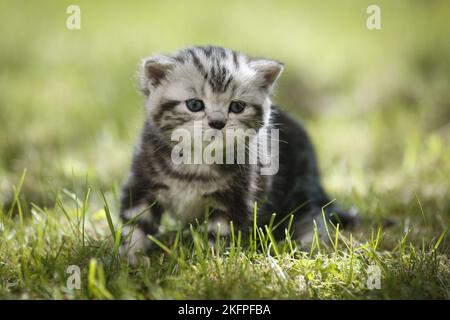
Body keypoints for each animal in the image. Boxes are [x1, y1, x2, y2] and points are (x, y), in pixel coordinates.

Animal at [119, 45, 356, 264]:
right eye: (194, 104)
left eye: (237, 106)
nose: (217, 122)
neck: (195, 164)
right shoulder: (142, 183)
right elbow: (136, 222)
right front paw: (131, 257)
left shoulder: (234, 199)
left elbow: (219, 234)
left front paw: (211, 263)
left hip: (301, 195)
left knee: (314, 220)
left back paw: (305, 247)